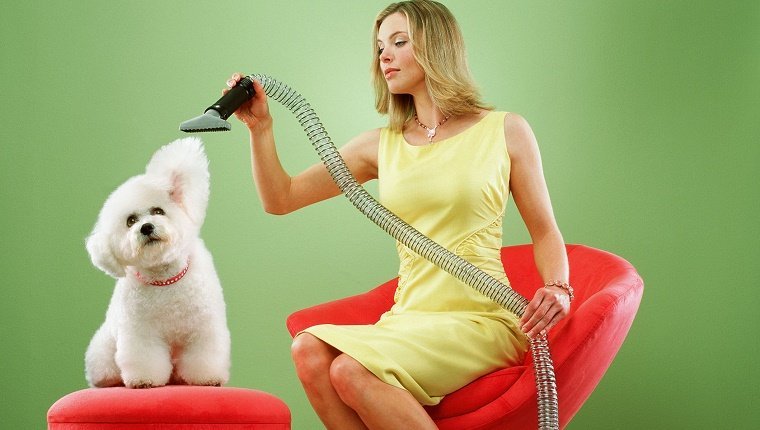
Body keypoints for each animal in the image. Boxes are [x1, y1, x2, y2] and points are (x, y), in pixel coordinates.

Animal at [83, 138, 230, 390]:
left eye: (158, 211)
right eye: (131, 220)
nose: (146, 227)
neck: (165, 278)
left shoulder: (204, 327)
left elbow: (204, 355)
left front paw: (206, 378)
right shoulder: (140, 333)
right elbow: (145, 357)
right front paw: (145, 380)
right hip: (104, 349)